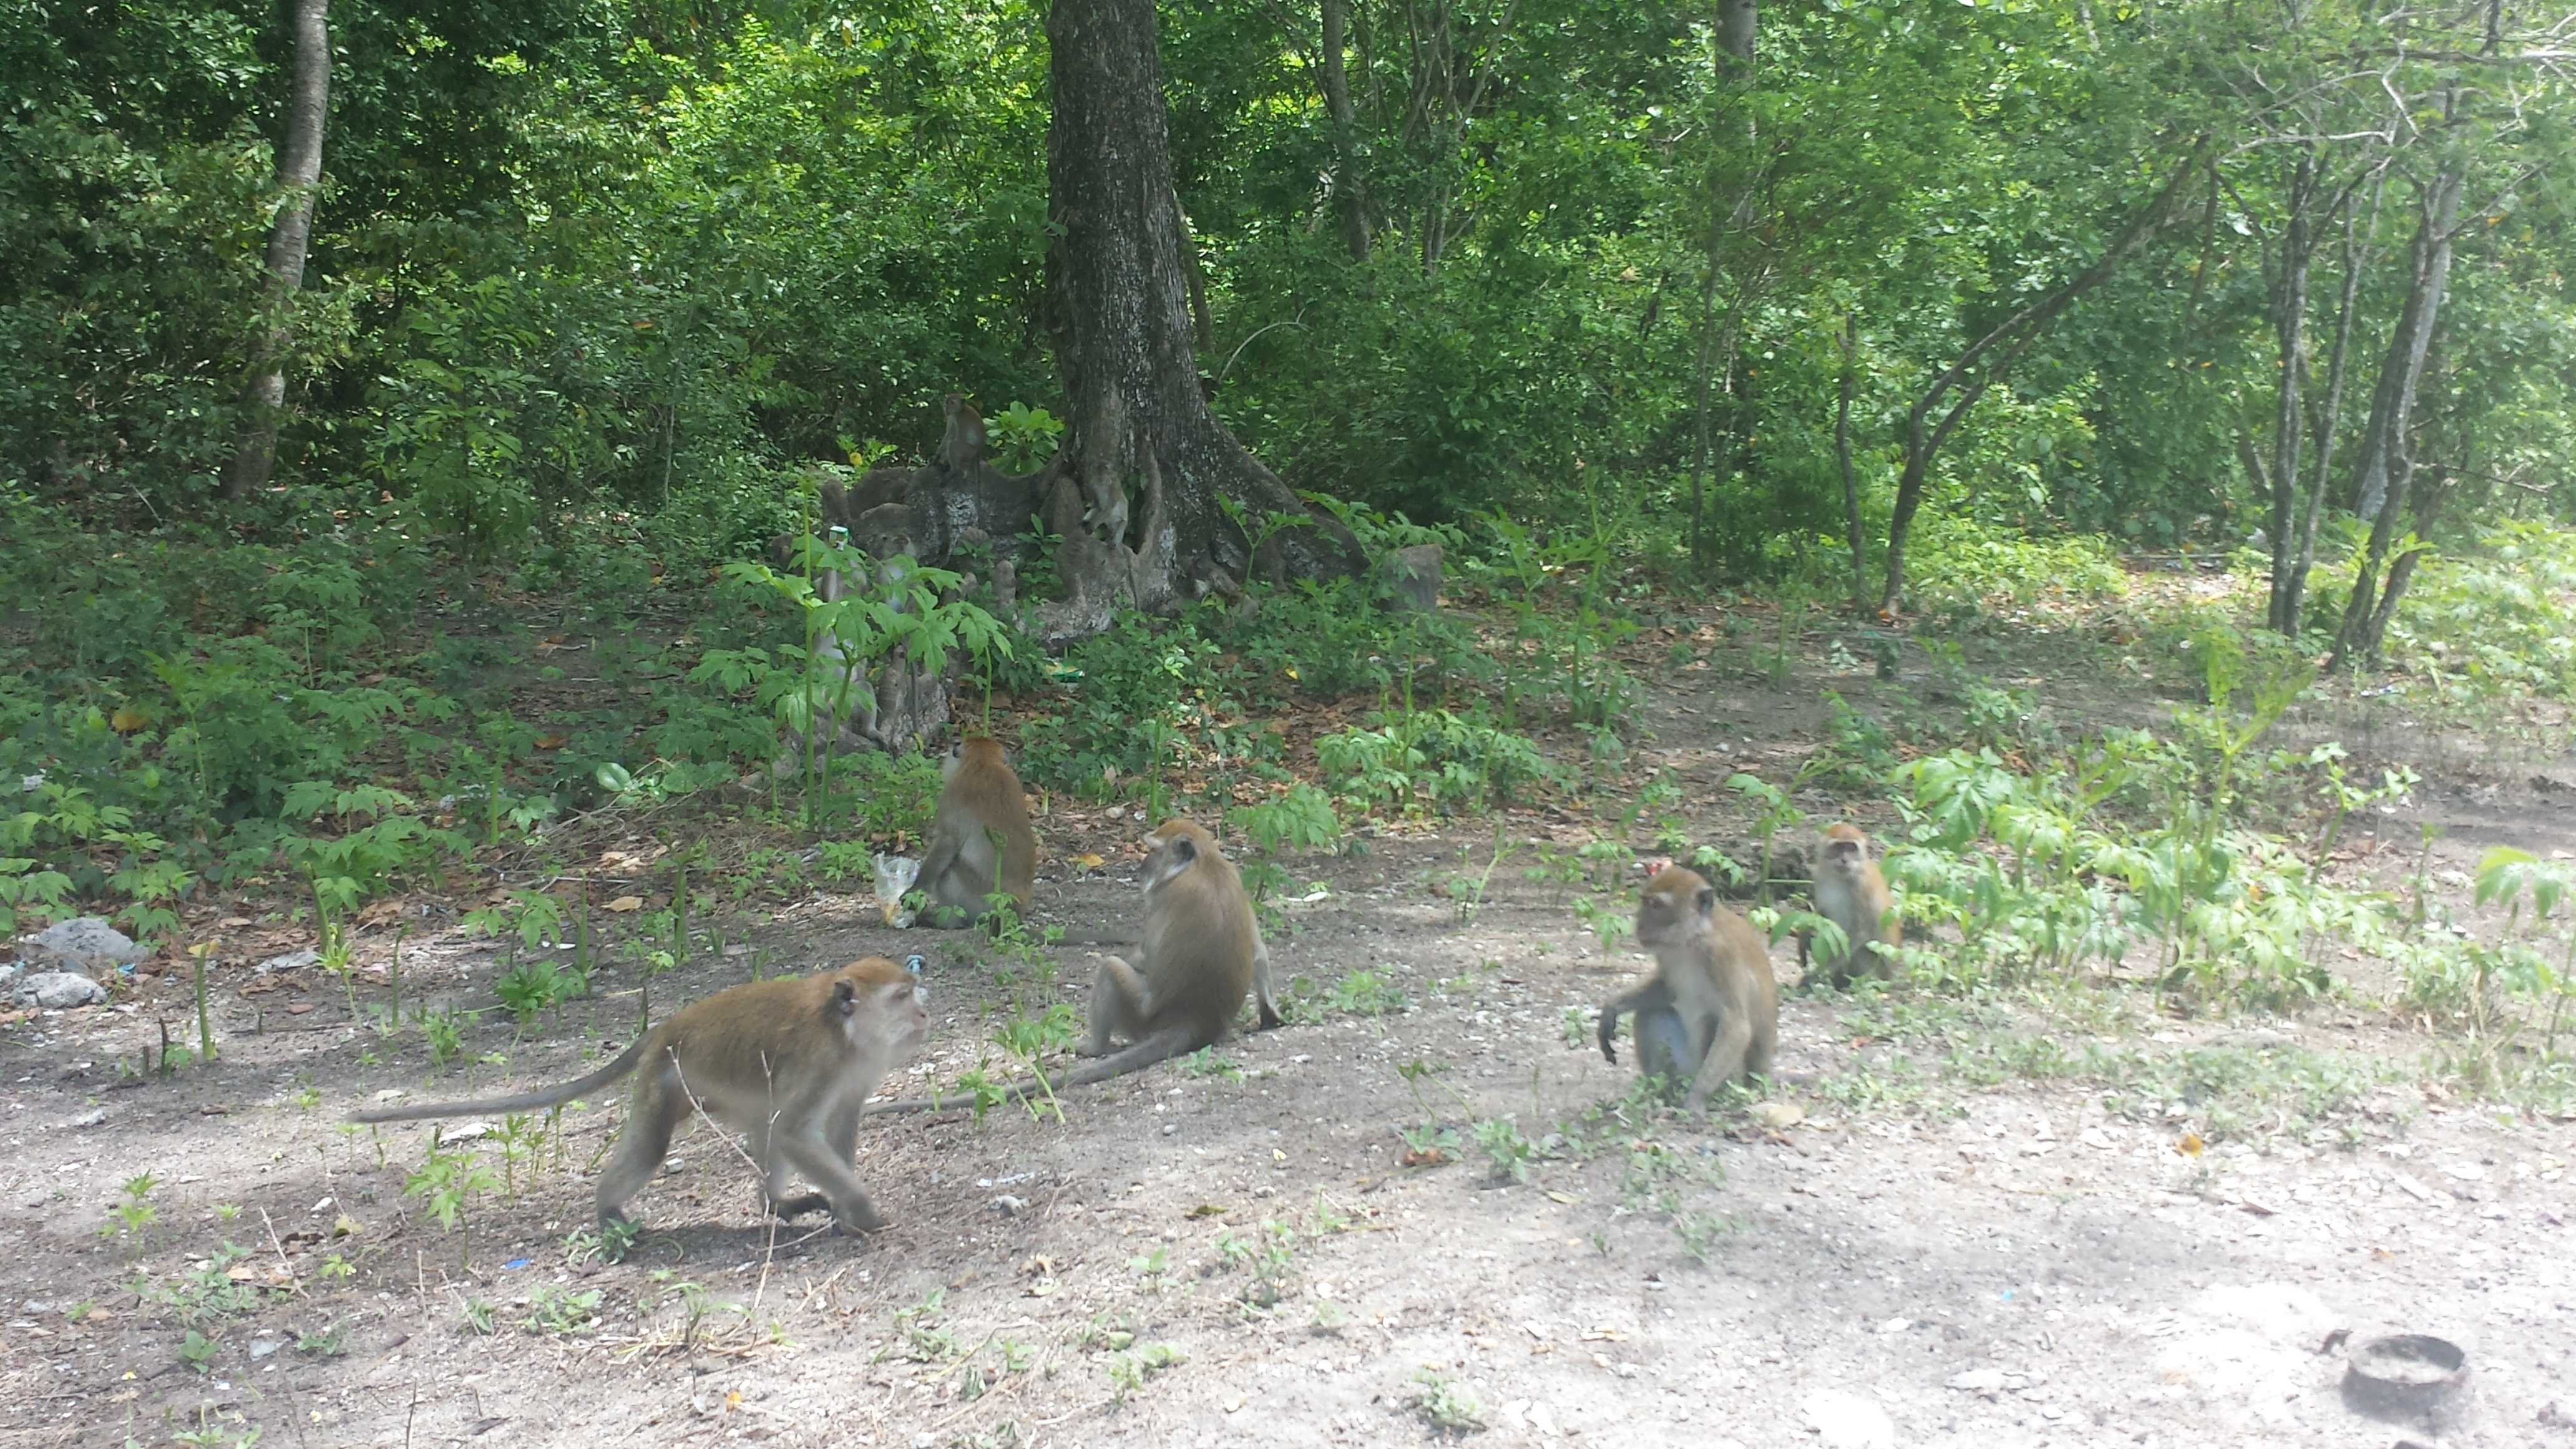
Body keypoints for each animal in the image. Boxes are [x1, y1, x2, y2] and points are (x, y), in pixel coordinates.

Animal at [354, 959, 929, 1235]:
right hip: (666, 1080)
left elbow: (835, 1125)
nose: (925, 1011)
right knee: (656, 1145)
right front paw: (861, 1209)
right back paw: (606, 1209)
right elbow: (795, 1133)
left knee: (765, 1124)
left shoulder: (855, 1070)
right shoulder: (820, 1061)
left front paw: (842, 1210)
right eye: (902, 996)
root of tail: (664, 1029)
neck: (845, 1032)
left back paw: (775, 1203)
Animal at [870, 819, 1279, 1115]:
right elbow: (1259, 951)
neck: (1205, 863)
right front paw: (1271, 1013)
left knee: (1111, 968)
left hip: (1141, 1020)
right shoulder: (1234, 874)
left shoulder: (1165, 895)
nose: (1142, 867)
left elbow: (1143, 959)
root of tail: (1192, 1020)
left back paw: (1093, 1047)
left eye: (1153, 851)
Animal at [912, 736, 1038, 928]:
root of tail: (1014, 908)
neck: (984, 763)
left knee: (949, 871)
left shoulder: (953, 791)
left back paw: (949, 922)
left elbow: (948, 842)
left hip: (979, 899)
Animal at [1597, 866, 1778, 1112]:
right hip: (1684, 1067)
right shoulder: (1667, 953)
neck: (1693, 939)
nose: (1640, 925)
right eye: (1644, 902)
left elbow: (1736, 1026)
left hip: (1732, 1080)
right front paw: (1611, 1007)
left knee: (1712, 1021)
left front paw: (1696, 1098)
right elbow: (1666, 990)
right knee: (1649, 1014)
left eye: (1656, 905)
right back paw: (1660, 1091)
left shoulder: (1721, 955)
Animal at [1807, 823, 1900, 990]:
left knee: (1860, 951)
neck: (1839, 878)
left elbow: (1859, 933)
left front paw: (1814, 975)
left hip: (1879, 971)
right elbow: (1824, 918)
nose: (1844, 859)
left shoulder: (1862, 886)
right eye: (1839, 847)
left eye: (1851, 848)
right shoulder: (1820, 876)